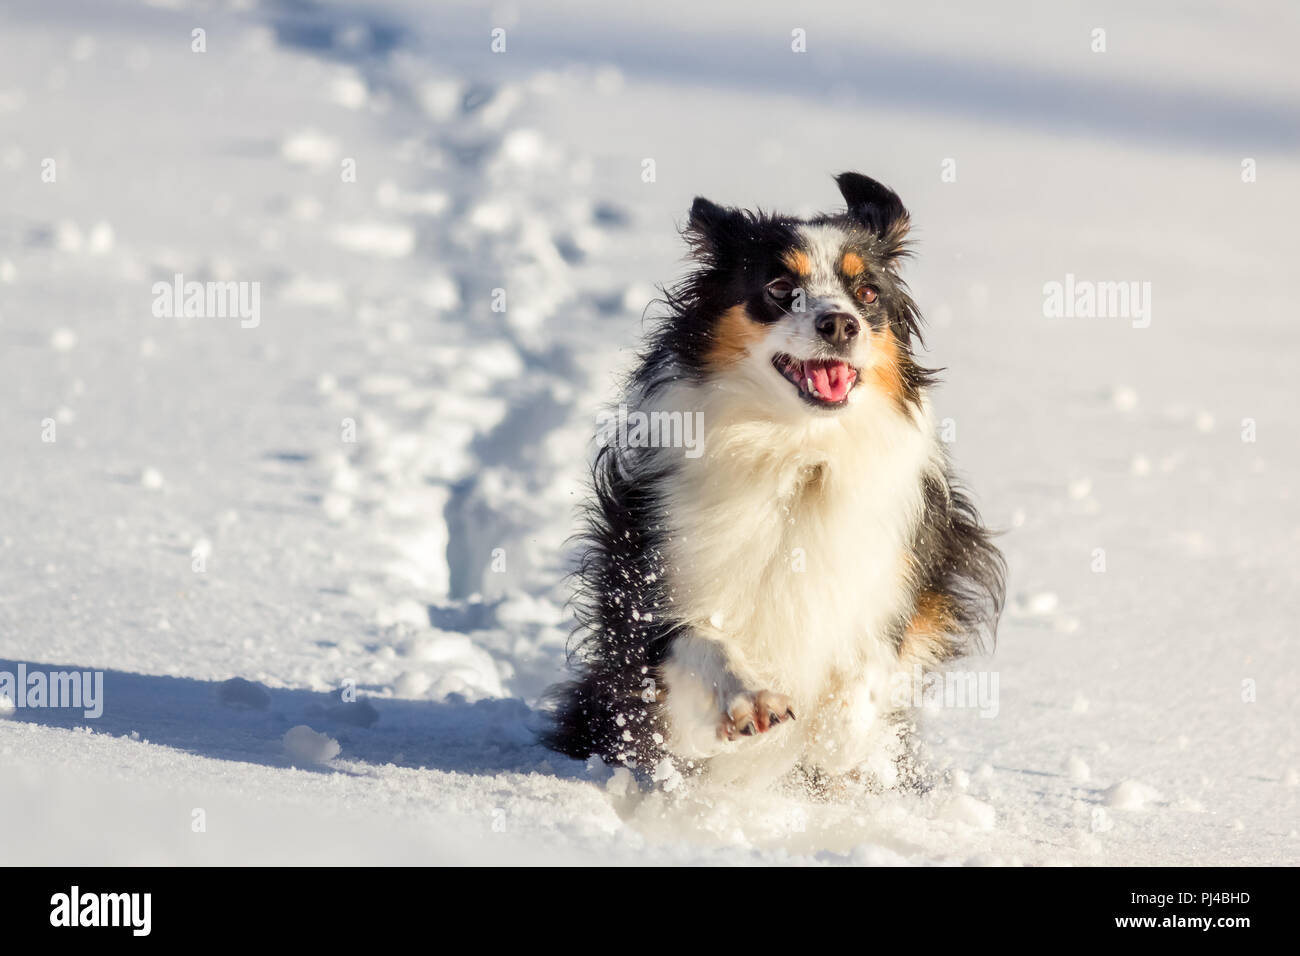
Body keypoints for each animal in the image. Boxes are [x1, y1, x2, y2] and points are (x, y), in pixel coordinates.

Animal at [543, 175, 998, 790]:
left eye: (868, 293)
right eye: (780, 287)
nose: (840, 324)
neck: (799, 452)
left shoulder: (912, 572)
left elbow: (874, 658)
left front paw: (838, 734)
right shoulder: (649, 580)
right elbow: (700, 642)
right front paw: (752, 703)